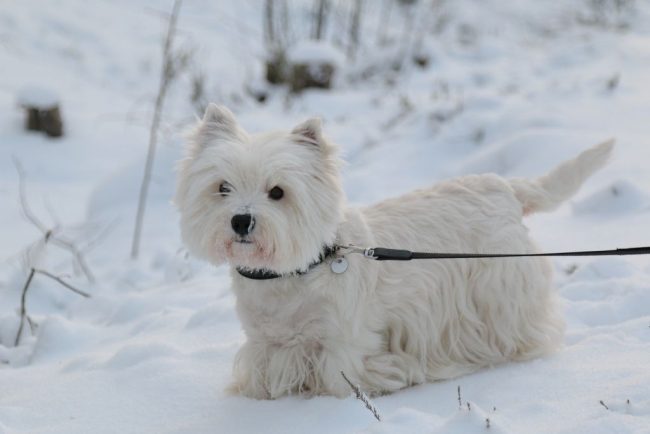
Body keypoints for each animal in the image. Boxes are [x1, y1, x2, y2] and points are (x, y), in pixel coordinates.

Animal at [175, 103, 612, 398]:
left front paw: (397, 372)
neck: (296, 272)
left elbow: (342, 377)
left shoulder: (345, 343)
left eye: (278, 192)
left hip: (500, 288)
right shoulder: (265, 344)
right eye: (222, 187)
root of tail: (505, 186)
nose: (241, 221)